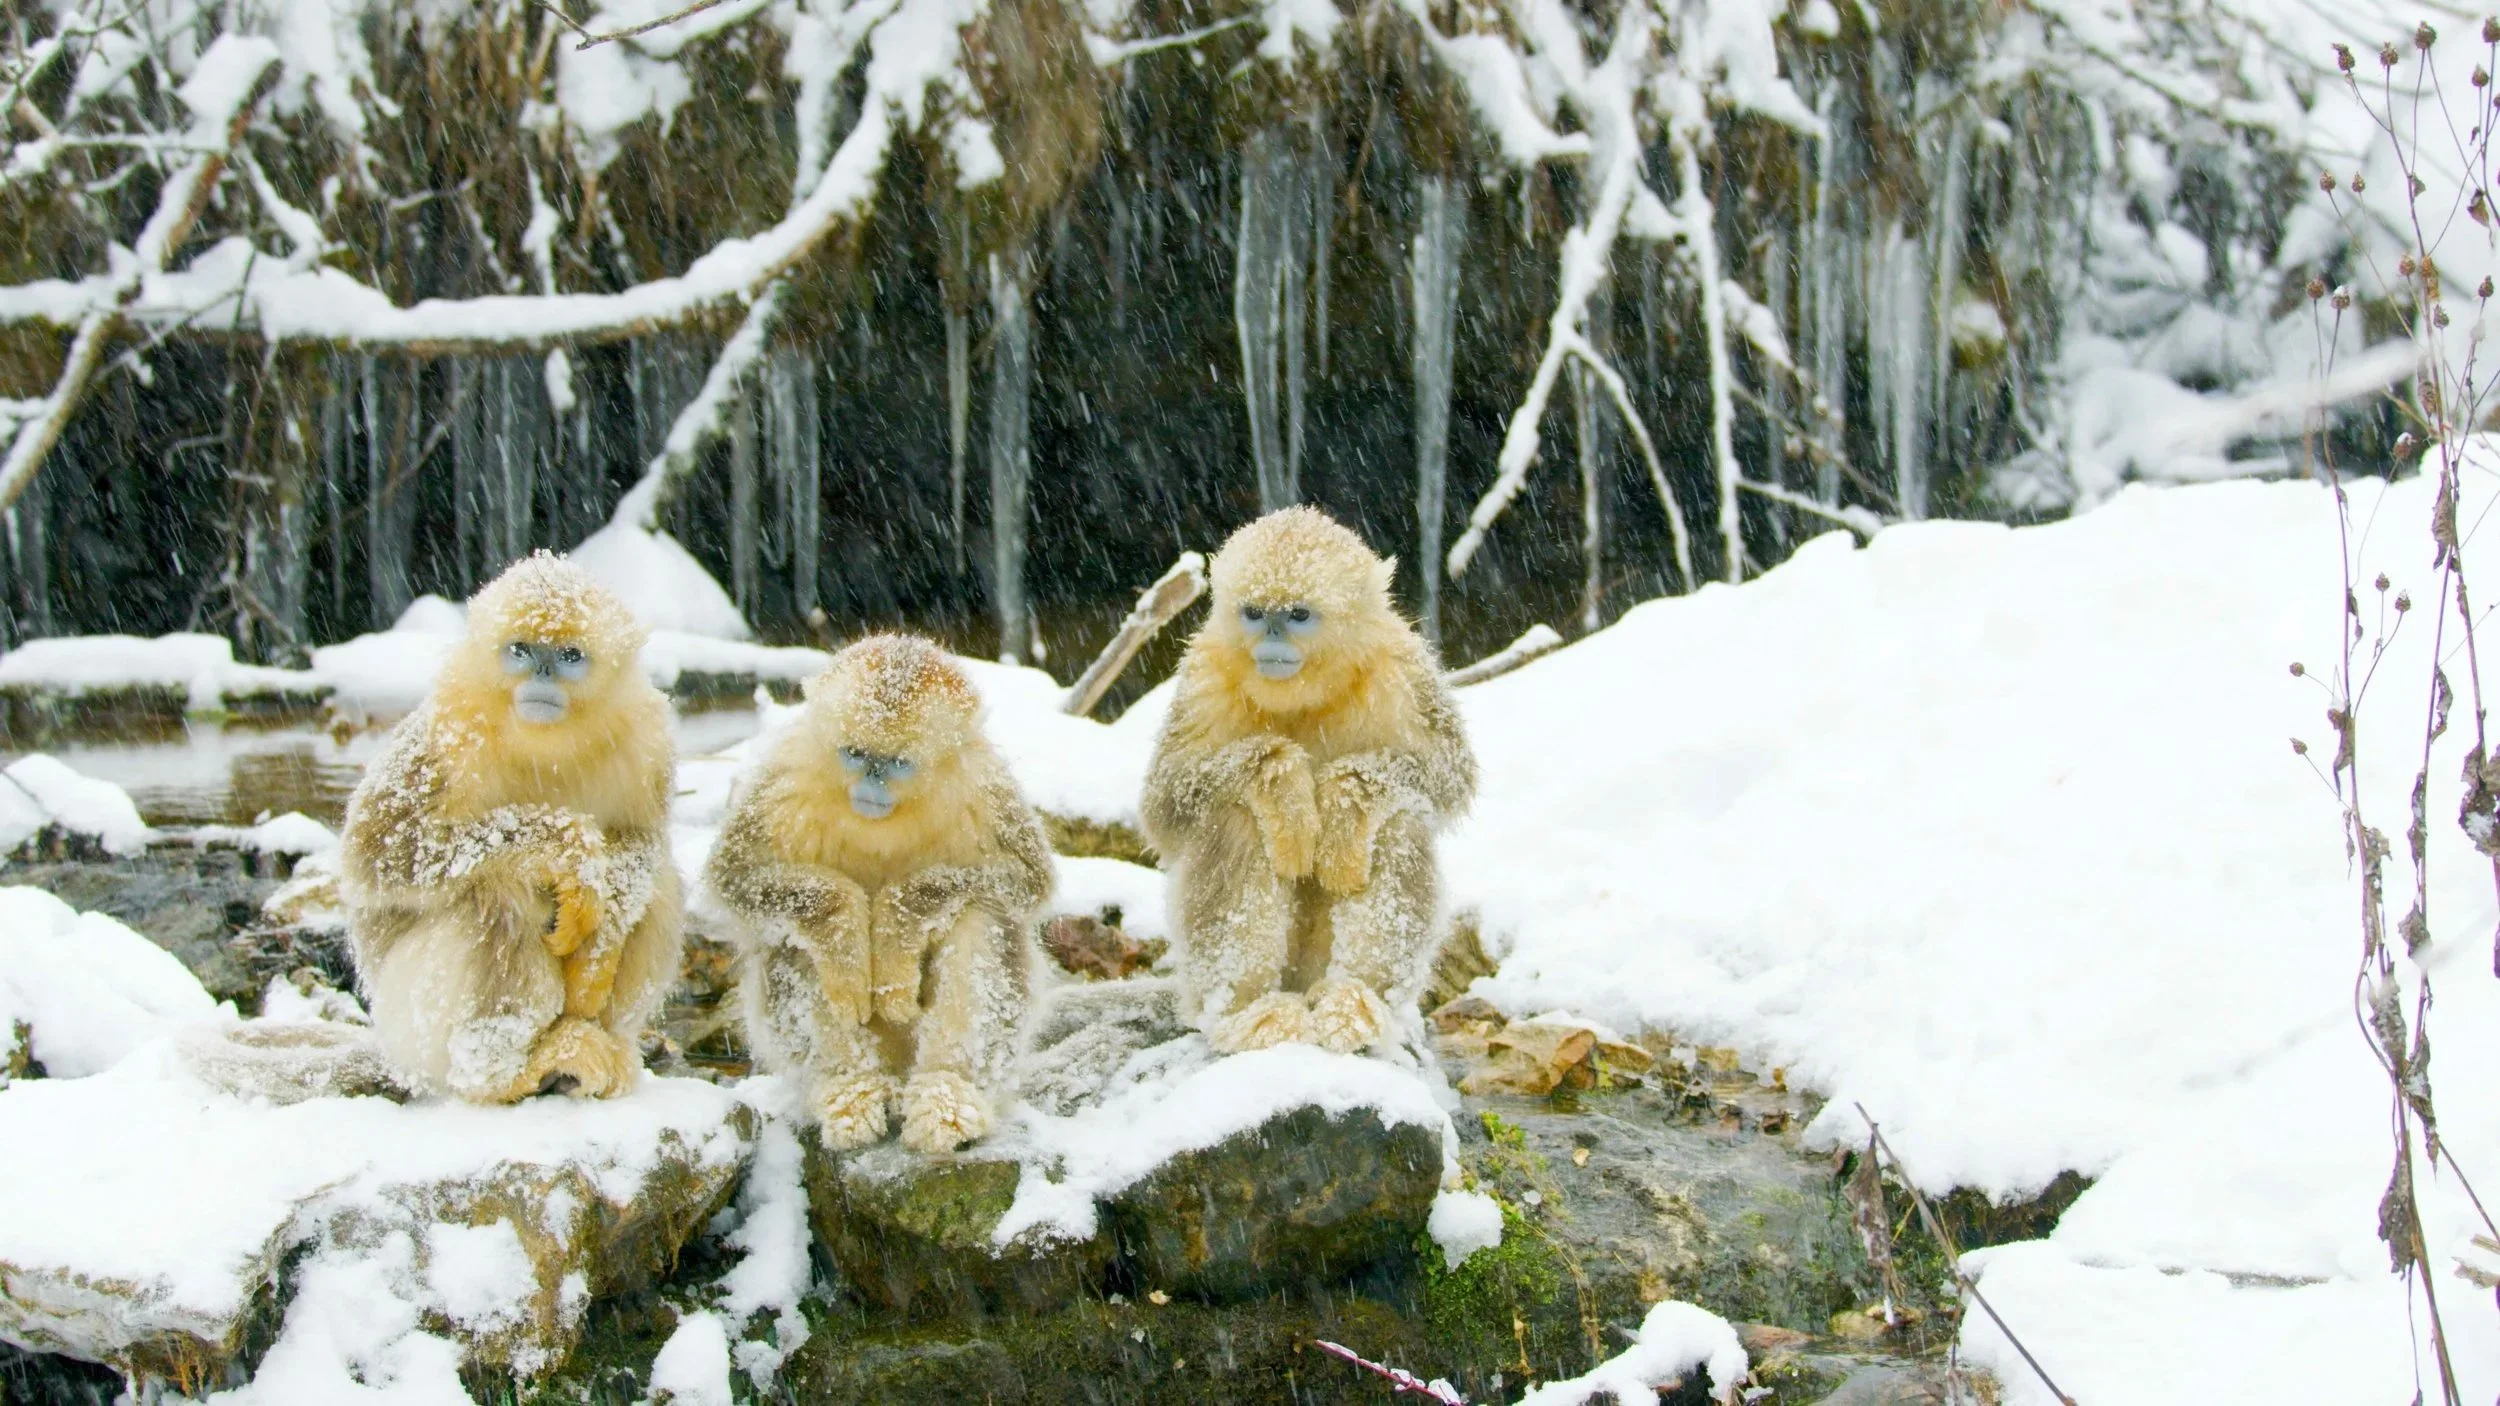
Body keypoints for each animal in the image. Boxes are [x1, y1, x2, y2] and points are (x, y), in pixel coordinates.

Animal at [338, 553, 683, 1104]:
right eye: (520, 650)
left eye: (568, 655)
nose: (541, 674)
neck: (547, 743)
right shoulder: (446, 735)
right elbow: (377, 857)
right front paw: (567, 848)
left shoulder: (649, 738)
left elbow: (642, 838)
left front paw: (597, 951)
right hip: (409, 1022)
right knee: (497, 896)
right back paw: (501, 1077)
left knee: (660, 888)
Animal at [705, 634, 1051, 1154]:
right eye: (854, 753)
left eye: (898, 764)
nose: (871, 782)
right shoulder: (786, 772)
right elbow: (735, 875)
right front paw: (845, 927)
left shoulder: (984, 786)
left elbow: (1025, 880)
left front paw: (896, 926)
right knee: (791, 939)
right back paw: (852, 1089)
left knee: (981, 913)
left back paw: (947, 1094)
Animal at [1142, 506, 1477, 1057]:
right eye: (1256, 613)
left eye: (1297, 615)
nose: (1272, 639)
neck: (1305, 695)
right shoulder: (1205, 674)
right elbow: (1164, 803)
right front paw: (1286, 790)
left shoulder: (1400, 665)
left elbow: (1449, 774)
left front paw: (1342, 803)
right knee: (1235, 818)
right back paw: (1245, 1014)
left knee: (1397, 823)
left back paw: (1355, 1004)